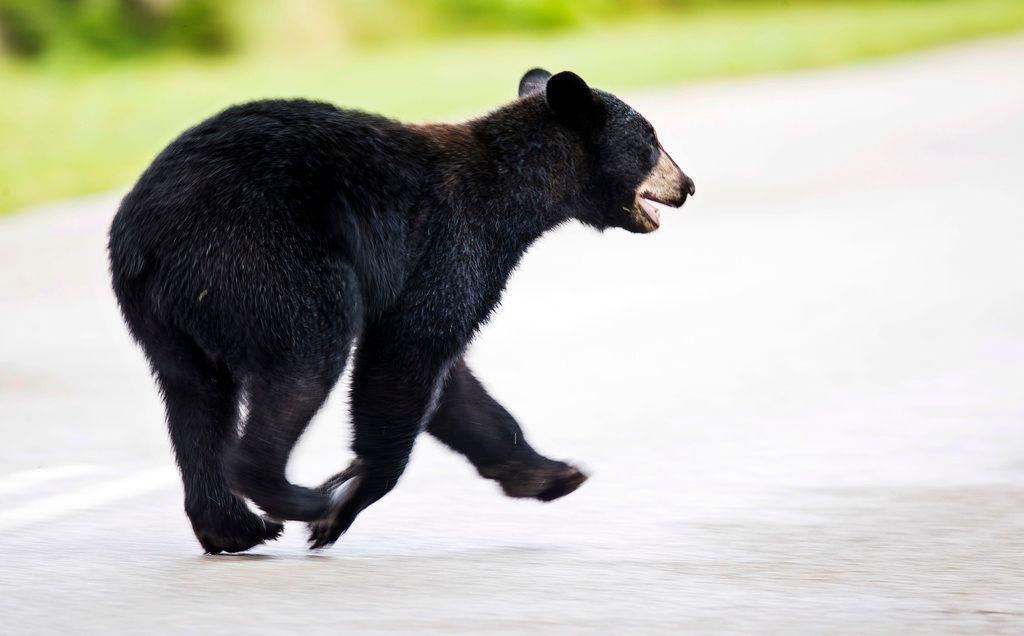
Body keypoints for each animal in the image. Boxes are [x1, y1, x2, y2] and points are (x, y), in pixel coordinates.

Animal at [108, 67, 696, 548]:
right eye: (651, 140)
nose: (688, 185)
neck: (516, 193)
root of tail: (144, 233)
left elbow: (455, 386)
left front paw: (550, 472)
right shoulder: (452, 244)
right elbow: (407, 355)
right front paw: (345, 503)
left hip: (167, 314)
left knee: (195, 396)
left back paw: (232, 527)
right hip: (260, 258)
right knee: (306, 357)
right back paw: (296, 498)